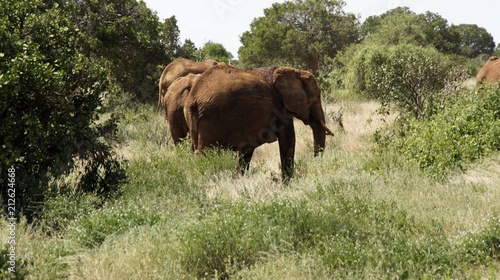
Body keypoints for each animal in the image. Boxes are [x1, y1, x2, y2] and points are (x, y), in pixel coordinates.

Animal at [184, 64, 332, 179]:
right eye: (317, 97)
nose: (315, 162)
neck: (291, 71)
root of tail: (194, 97)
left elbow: (246, 151)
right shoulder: (280, 108)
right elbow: (288, 140)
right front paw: (288, 184)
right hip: (211, 118)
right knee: (203, 153)